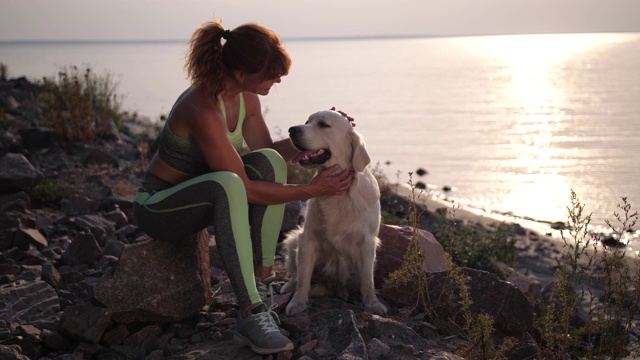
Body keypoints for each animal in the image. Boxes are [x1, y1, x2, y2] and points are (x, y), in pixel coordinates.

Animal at [278, 109, 388, 316]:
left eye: (323, 124)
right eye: (307, 121)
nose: (292, 129)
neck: (338, 196)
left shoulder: (367, 243)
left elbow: (367, 280)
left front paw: (373, 303)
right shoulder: (308, 239)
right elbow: (303, 277)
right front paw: (297, 302)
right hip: (294, 239)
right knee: (296, 275)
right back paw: (289, 286)